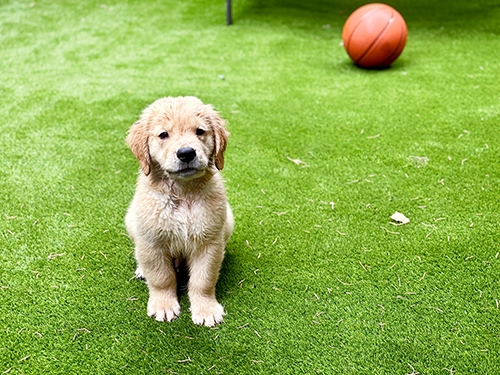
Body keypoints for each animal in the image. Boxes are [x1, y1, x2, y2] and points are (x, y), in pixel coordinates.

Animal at [125, 97, 234, 328]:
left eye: (200, 131)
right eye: (163, 135)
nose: (186, 153)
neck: (184, 193)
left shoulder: (209, 243)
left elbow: (203, 280)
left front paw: (206, 309)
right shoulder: (152, 242)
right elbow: (161, 278)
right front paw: (164, 305)